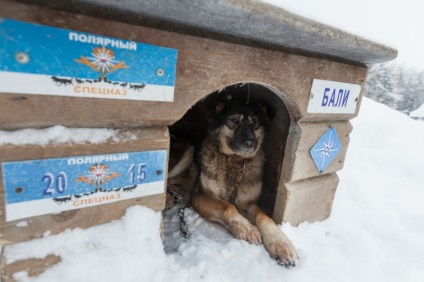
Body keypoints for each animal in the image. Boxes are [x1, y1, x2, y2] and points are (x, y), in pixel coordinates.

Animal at [192, 101, 298, 266]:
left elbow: (263, 216)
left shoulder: (248, 203)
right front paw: (247, 229)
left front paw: (280, 242)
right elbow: (228, 206)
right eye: (234, 120)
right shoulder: (200, 195)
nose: (250, 143)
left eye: (254, 122)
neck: (234, 161)